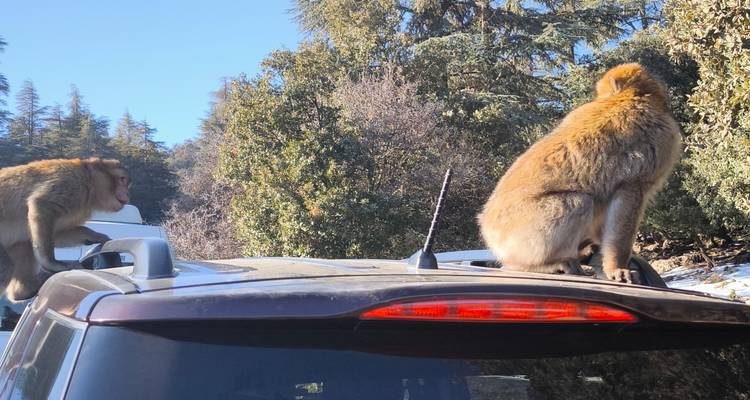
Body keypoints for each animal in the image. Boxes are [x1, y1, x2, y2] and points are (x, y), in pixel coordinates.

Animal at [0, 158, 130, 301]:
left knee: (24, 245)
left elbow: (56, 235)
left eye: (127, 184)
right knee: (6, 266)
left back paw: (23, 291)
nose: (127, 194)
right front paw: (52, 263)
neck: (90, 185)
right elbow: (42, 205)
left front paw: (95, 236)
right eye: (122, 179)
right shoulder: (71, 183)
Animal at [478, 63, 681, 284]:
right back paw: (544, 264)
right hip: (522, 231)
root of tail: (486, 228)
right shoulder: (639, 173)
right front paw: (617, 267)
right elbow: (625, 206)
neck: (624, 98)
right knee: (577, 202)